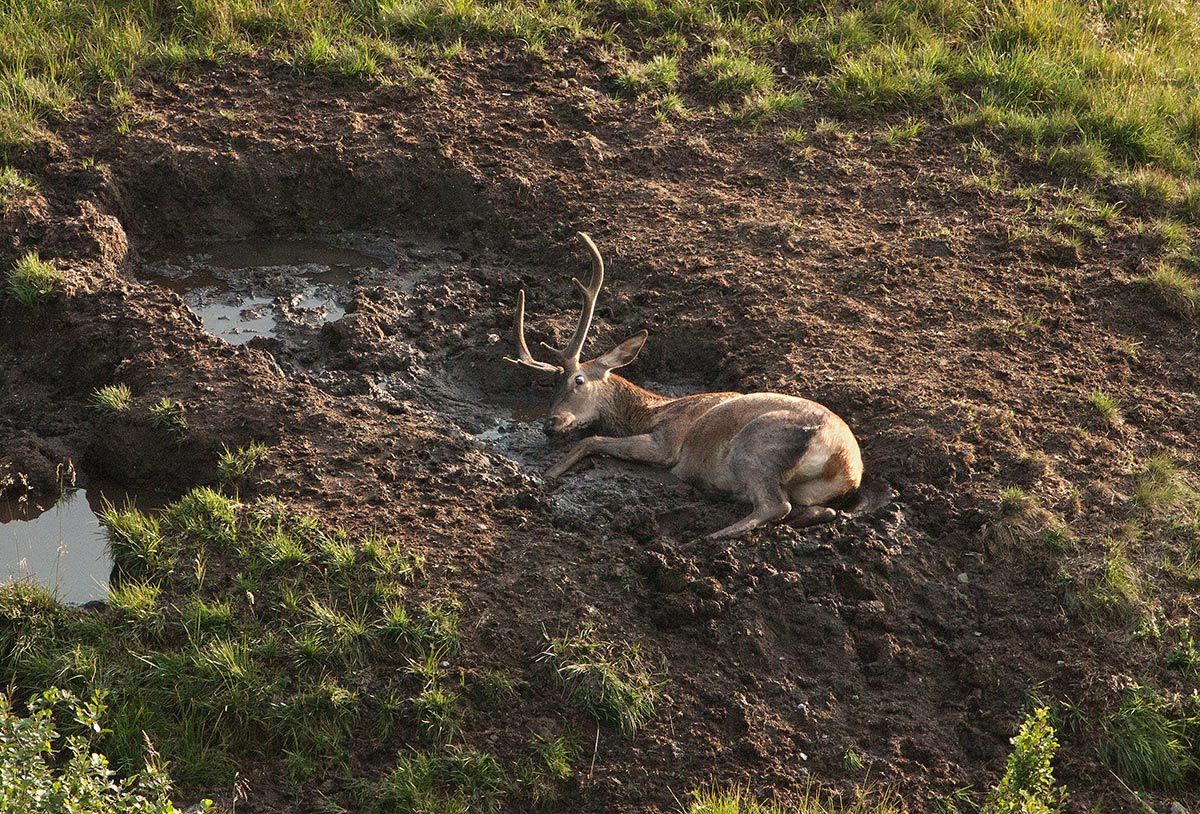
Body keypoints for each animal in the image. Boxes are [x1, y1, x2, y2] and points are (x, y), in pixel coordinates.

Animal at [505, 232, 865, 540]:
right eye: (552, 386)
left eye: (577, 380)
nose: (550, 424)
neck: (650, 412)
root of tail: (843, 458)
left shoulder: (667, 443)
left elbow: (591, 439)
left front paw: (549, 473)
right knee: (818, 511)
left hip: (755, 445)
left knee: (775, 504)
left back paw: (707, 537)